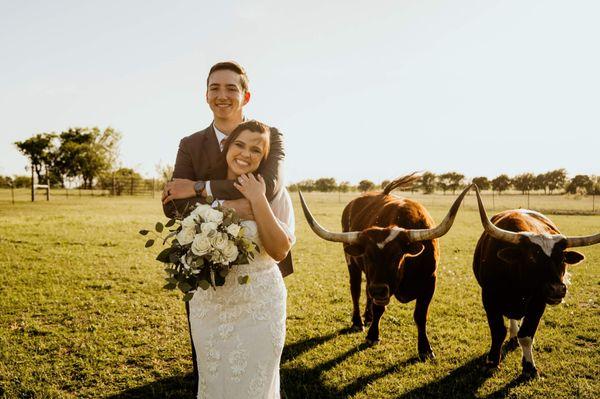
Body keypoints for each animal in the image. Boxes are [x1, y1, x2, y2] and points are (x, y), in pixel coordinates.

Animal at [300, 176, 474, 362]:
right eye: (367, 256)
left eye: (396, 256)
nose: (379, 290)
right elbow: (379, 308)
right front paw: (372, 336)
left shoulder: (430, 281)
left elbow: (420, 315)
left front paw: (425, 349)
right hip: (352, 263)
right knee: (356, 290)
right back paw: (358, 322)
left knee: (366, 293)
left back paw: (368, 317)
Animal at [474, 186, 600, 380]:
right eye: (532, 258)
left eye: (562, 258)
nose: (557, 290)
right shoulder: (489, 297)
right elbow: (497, 331)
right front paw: (492, 362)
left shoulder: (538, 301)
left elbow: (526, 335)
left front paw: (529, 367)